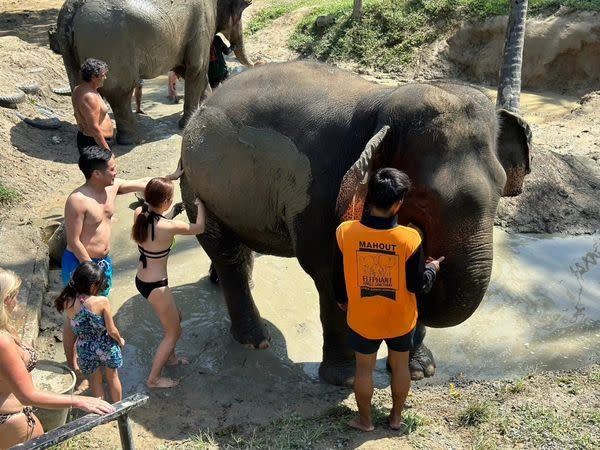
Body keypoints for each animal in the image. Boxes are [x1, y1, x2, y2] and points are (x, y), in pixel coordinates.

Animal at [54, 0, 253, 143]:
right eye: (242, 10)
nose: (230, 46)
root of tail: (71, 10)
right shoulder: (201, 23)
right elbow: (196, 68)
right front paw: (185, 124)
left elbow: (188, 69)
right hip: (108, 43)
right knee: (120, 93)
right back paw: (131, 139)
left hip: (71, 50)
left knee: (80, 87)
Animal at [180, 59, 532, 386]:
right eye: (423, 197)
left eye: (502, 186)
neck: (381, 103)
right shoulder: (323, 194)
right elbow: (329, 270)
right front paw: (345, 379)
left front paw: (419, 371)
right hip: (196, 186)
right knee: (226, 253)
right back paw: (255, 341)